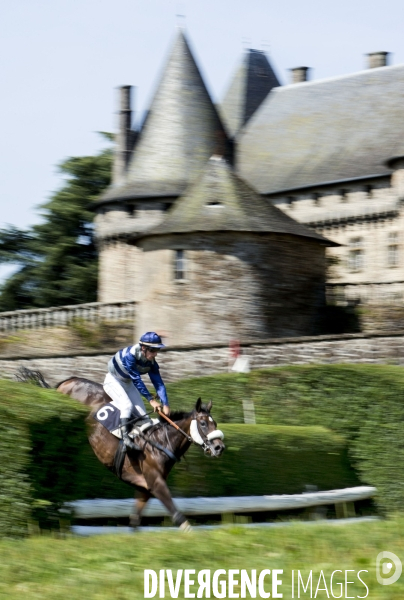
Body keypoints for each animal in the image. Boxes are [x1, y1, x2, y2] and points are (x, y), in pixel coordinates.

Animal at [28, 372, 227, 532]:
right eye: (203, 423)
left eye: (215, 423)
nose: (220, 447)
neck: (161, 442)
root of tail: (68, 381)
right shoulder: (156, 482)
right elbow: (177, 514)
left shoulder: (144, 488)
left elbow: (135, 521)